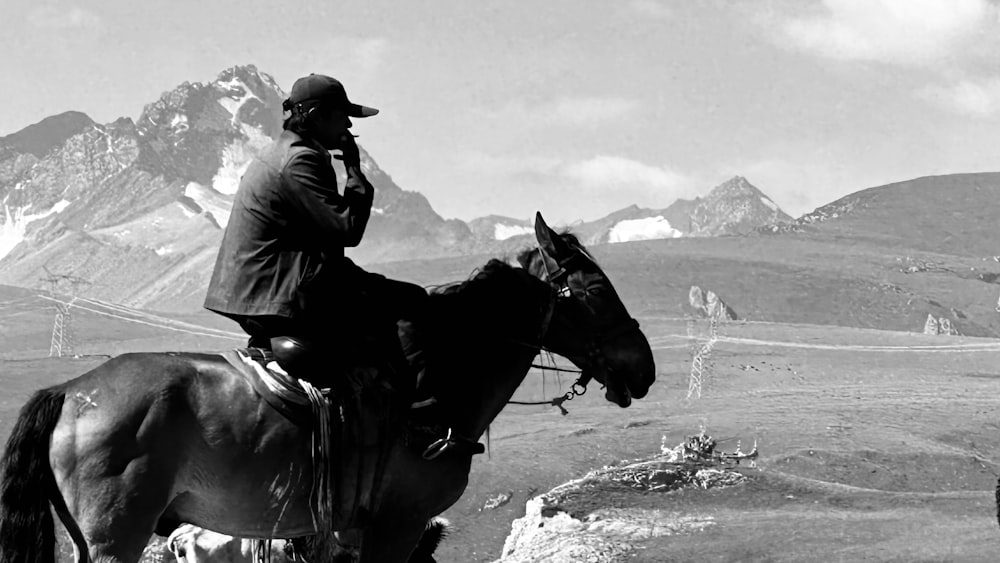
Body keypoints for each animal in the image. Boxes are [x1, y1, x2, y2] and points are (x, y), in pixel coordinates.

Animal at [0, 214, 656, 560]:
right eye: (595, 291)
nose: (644, 368)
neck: (438, 385)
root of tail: (70, 390)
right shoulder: (397, 527)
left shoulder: (344, 535)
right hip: (116, 538)